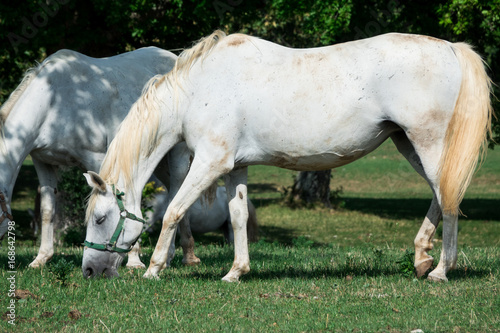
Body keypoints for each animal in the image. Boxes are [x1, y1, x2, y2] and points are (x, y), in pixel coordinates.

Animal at [0, 47, 203, 268]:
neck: (55, 103)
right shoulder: (43, 162)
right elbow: (47, 210)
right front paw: (41, 258)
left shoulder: (98, 160)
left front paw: (133, 260)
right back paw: (188, 254)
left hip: (177, 154)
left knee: (175, 192)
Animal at [82, 30, 492, 280]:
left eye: (101, 218)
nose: (88, 270)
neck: (199, 88)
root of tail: (450, 47)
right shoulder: (235, 167)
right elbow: (238, 216)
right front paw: (236, 271)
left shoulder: (210, 163)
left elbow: (173, 211)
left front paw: (153, 269)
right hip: (408, 144)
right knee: (442, 194)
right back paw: (422, 257)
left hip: (428, 142)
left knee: (448, 199)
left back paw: (439, 270)